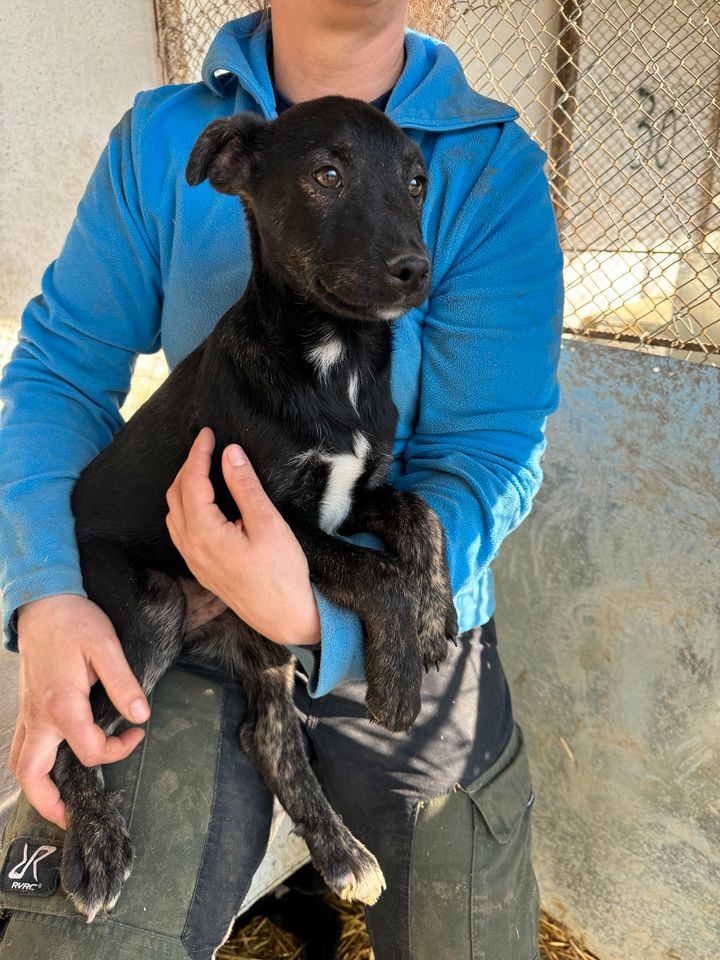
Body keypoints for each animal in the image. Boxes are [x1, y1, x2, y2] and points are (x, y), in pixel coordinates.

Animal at [59, 97, 458, 924]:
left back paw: (342, 856)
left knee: (265, 736)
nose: (416, 269)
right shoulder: (264, 521)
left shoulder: (357, 492)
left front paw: (435, 616)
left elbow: (421, 510)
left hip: (258, 633)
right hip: (149, 608)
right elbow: (377, 572)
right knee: (65, 746)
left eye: (417, 181)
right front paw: (398, 680)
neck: (336, 360)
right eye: (327, 175)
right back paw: (95, 847)